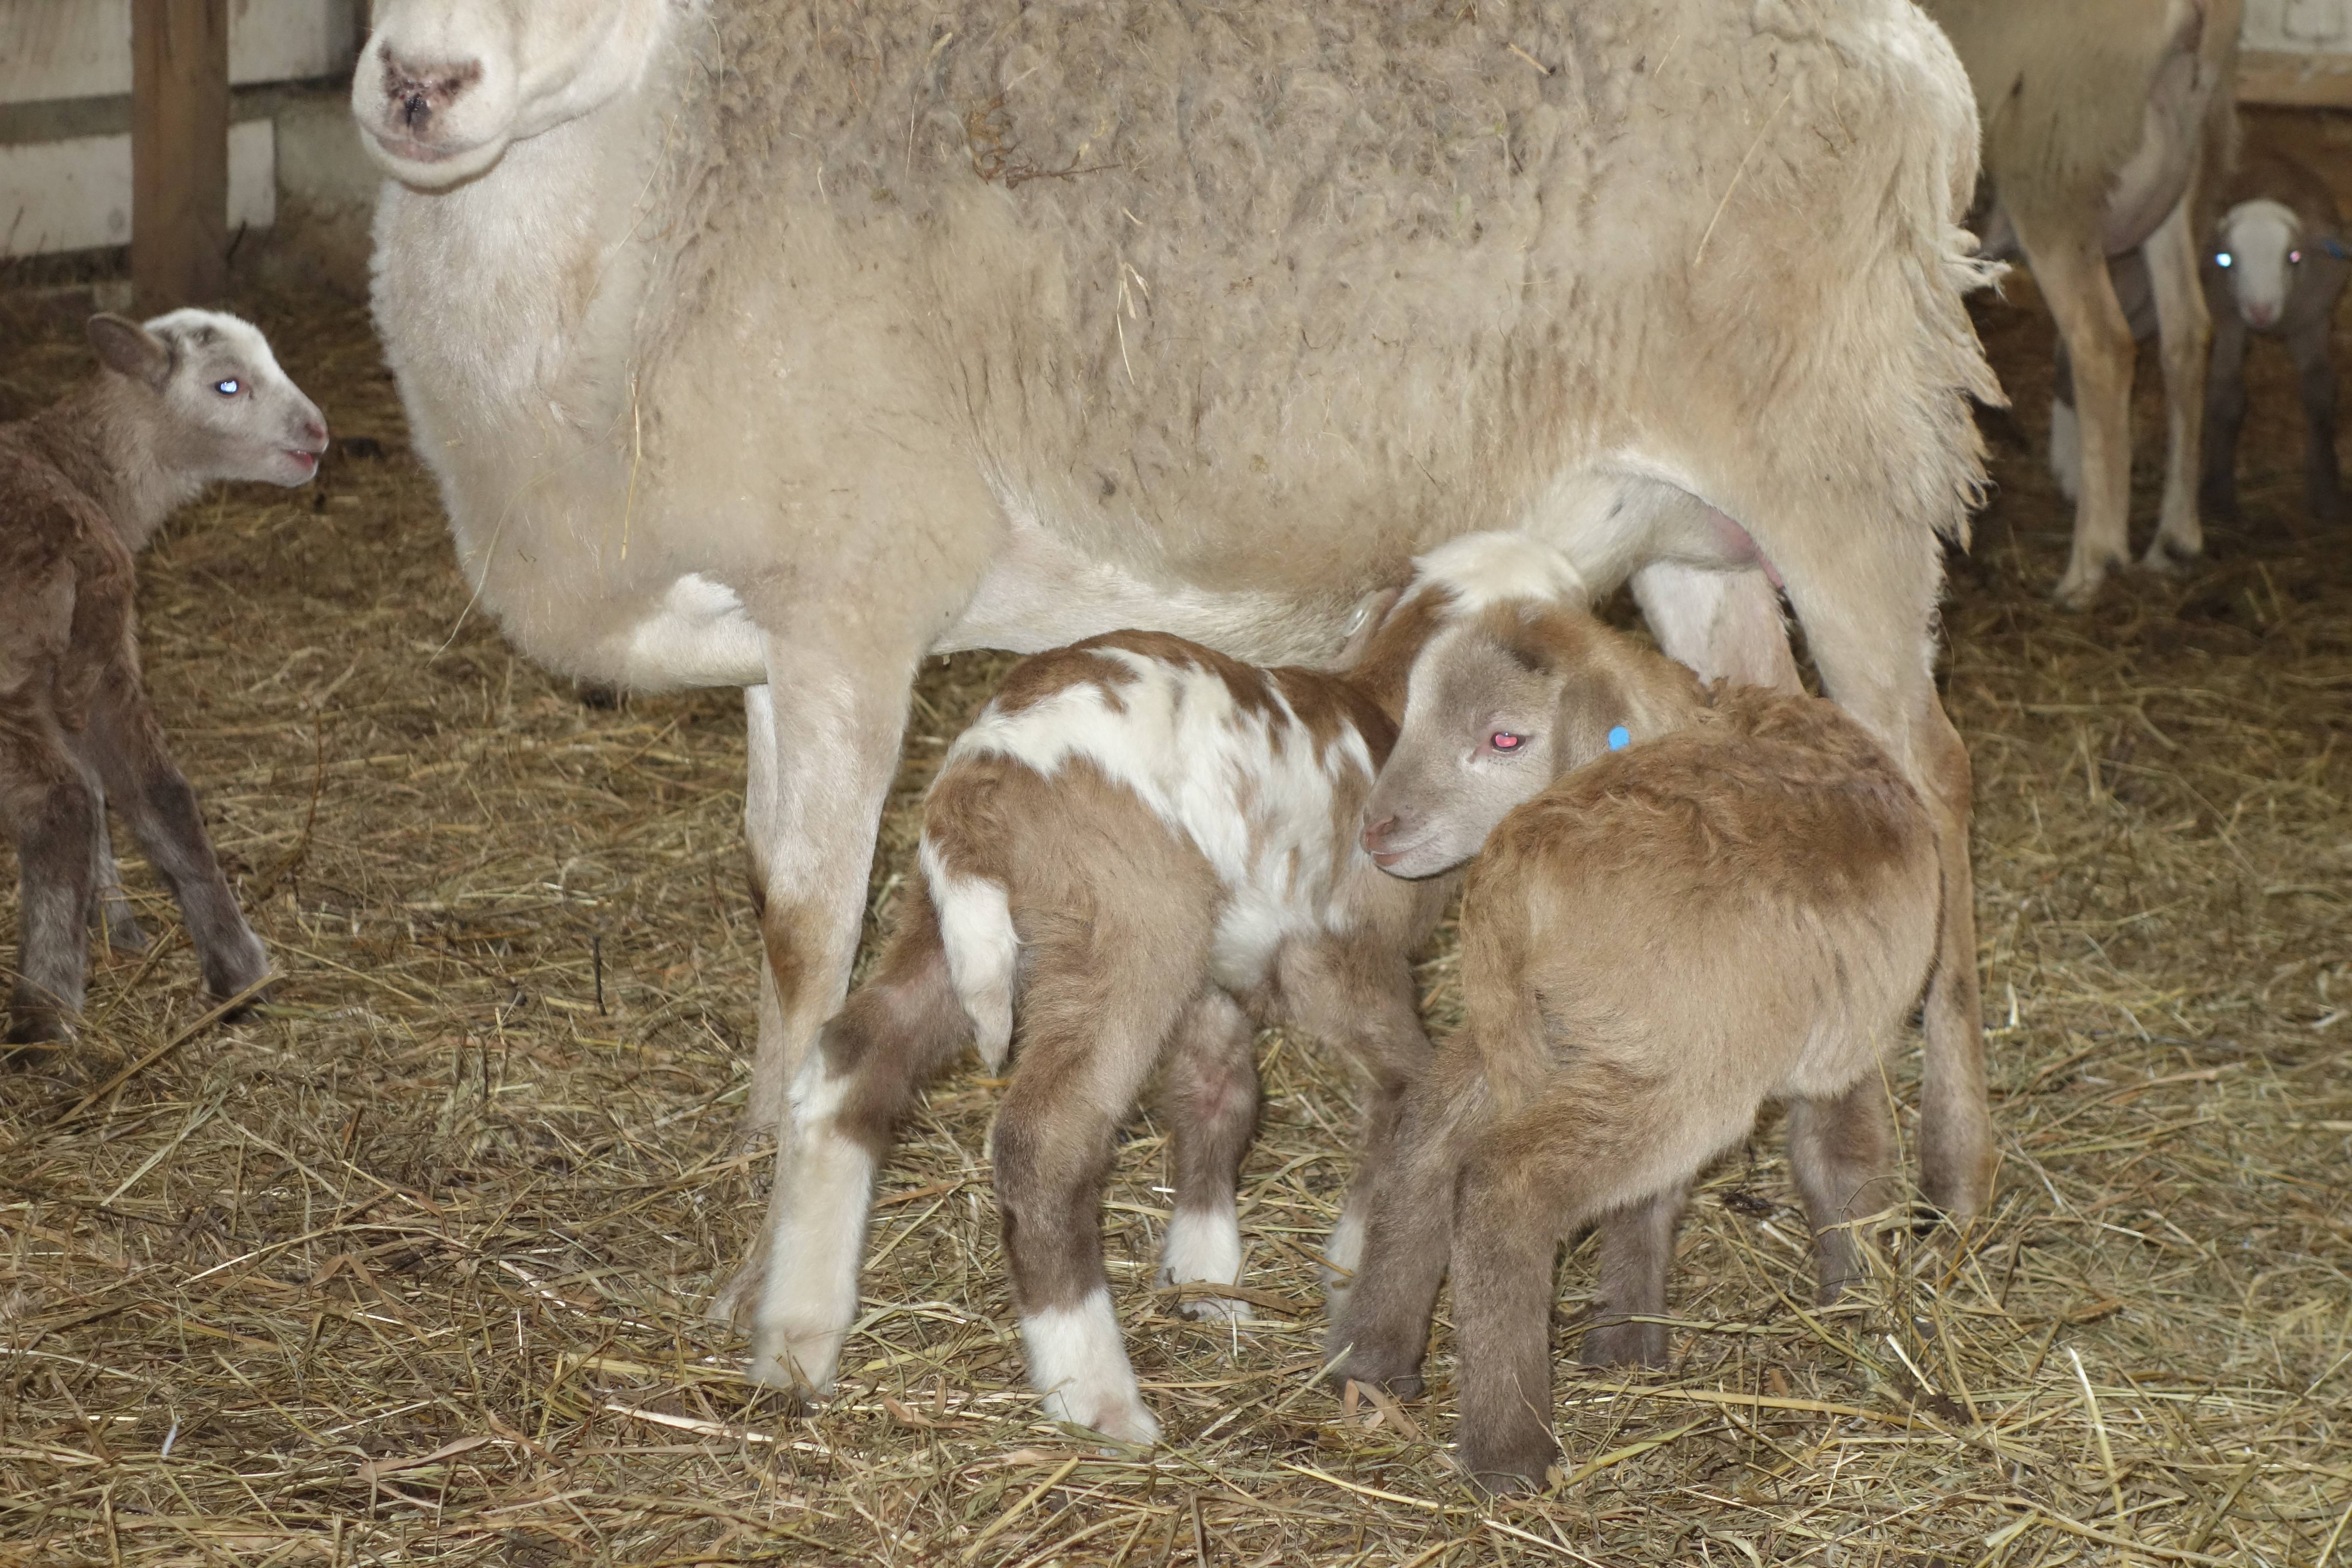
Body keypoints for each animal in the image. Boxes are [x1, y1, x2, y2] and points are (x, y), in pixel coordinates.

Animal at [0, 310, 327, 1053]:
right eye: (228, 385)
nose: (318, 432)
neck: (80, 466)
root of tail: (78, 537)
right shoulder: (83, 669)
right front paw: (116, 927)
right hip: (104, 656)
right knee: (159, 793)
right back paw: (240, 976)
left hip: (12, 676)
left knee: (61, 807)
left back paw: (42, 1018)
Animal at [753, 543, 1599, 1448]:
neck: (1379, 704)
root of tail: (979, 788)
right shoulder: (1339, 956)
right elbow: (1406, 1087)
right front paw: (1352, 1270)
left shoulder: (1219, 965)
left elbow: (1218, 1092)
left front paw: (1205, 1271)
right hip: (1129, 931)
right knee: (1043, 1139)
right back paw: (1097, 1399)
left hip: (959, 933)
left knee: (852, 1060)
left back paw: (797, 1336)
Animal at [1326, 540, 1947, 1495]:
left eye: (1503, 737)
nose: (1376, 831)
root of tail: (1516, 858)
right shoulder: (1842, 1047)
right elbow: (1841, 1162)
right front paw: (1853, 1298)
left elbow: (1650, 1204)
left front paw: (1629, 1337)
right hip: (1671, 1073)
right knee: (1507, 1183)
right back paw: (1511, 1452)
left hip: (1557, 1031)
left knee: (1428, 1135)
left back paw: (1374, 1356)